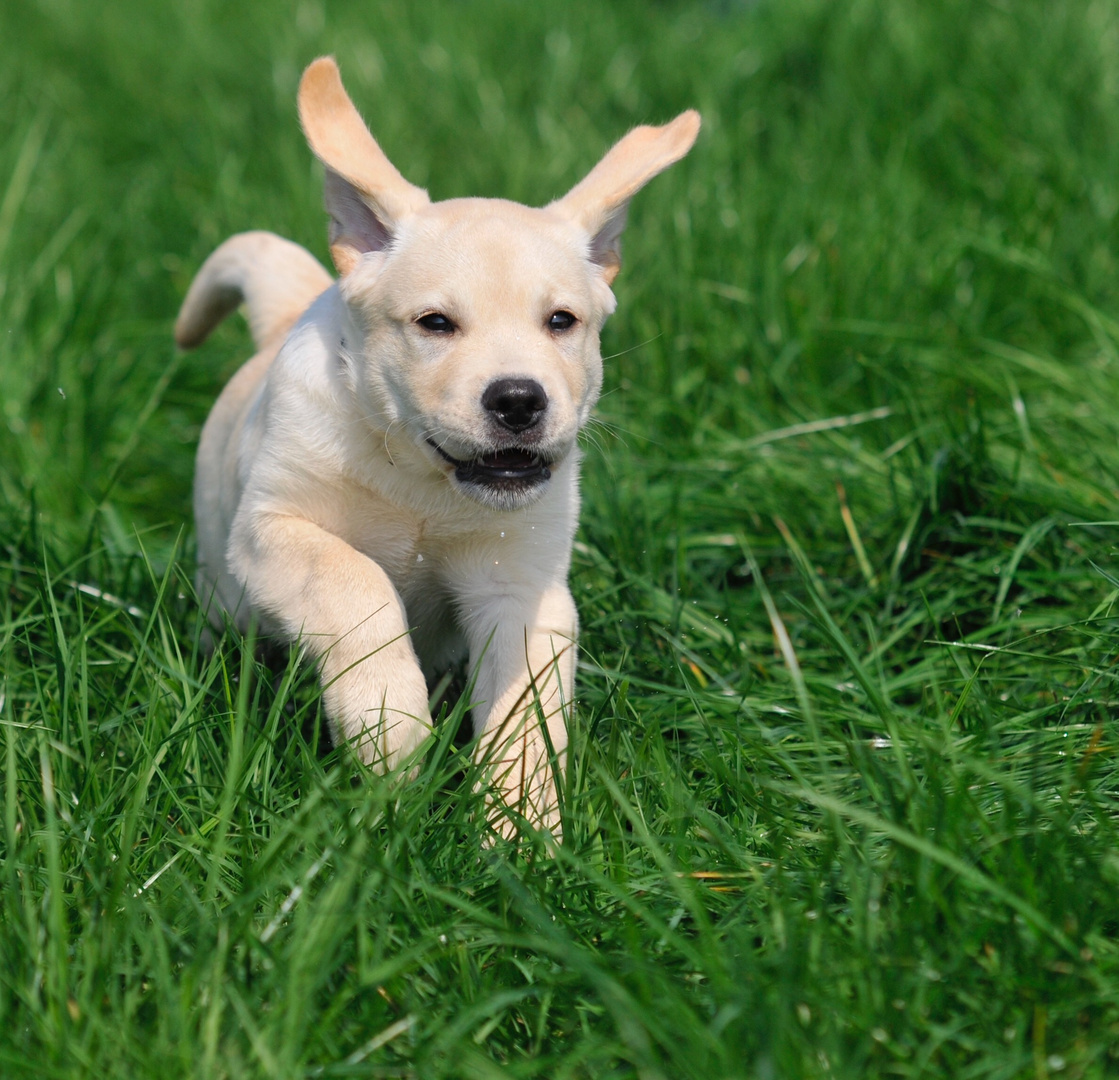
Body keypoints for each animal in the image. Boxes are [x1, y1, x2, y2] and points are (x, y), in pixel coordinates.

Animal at [174, 56, 698, 832]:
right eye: (435, 323)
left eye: (561, 321)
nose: (519, 400)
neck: (420, 481)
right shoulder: (270, 529)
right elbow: (353, 581)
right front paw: (391, 734)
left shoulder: (522, 586)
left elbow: (526, 711)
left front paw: (520, 829)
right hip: (223, 583)